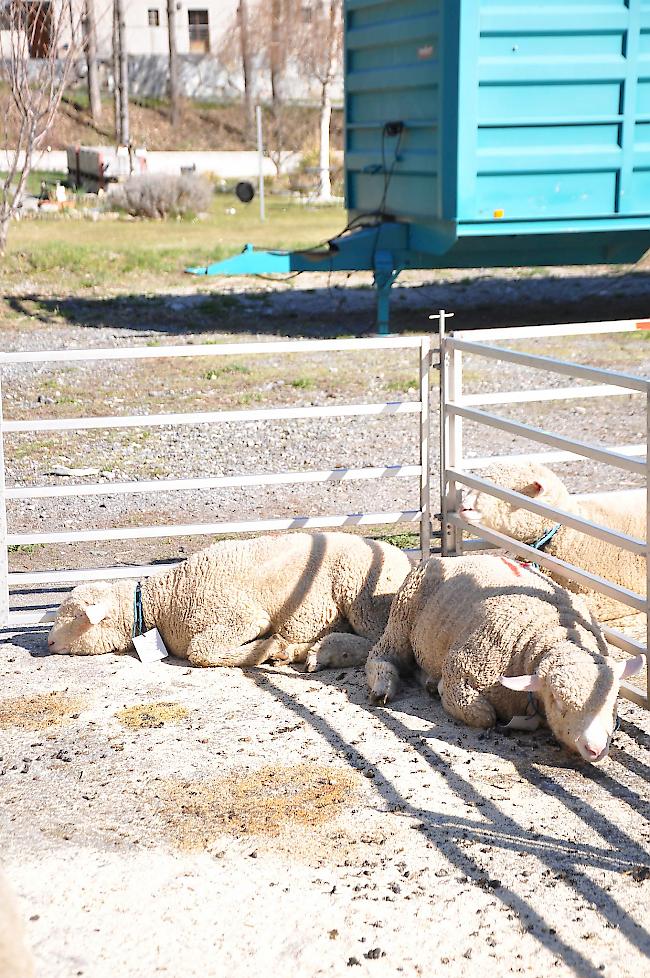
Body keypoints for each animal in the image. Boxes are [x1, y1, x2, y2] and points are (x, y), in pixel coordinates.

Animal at [48, 528, 410, 668]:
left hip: (363, 598)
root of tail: (402, 558)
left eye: (77, 617)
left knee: (379, 642)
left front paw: (268, 647)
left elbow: (200, 652)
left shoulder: (242, 616)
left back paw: (325, 651)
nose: (48, 643)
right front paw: (275, 649)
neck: (163, 603)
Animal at [364, 552, 644, 760]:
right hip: (403, 616)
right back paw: (385, 686)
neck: (552, 632)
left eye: (613, 699)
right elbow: (484, 716)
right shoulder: (461, 669)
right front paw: (441, 689)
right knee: (380, 656)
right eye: (557, 701)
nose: (596, 749)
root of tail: (452, 557)